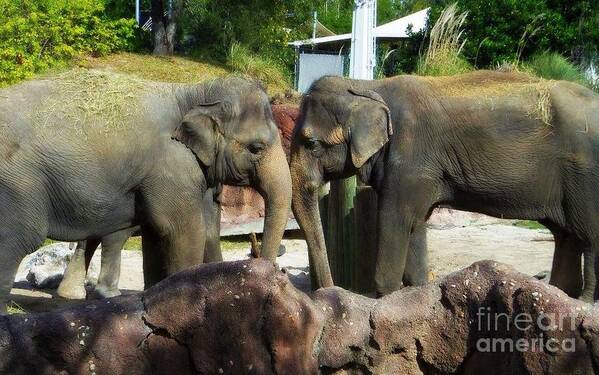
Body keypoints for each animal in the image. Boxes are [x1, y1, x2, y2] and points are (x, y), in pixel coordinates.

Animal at [0, 70, 292, 312]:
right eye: (256, 148)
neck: (194, 92)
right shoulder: (172, 166)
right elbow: (184, 231)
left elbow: (156, 235)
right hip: (18, 184)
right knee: (17, 241)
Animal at [290, 70, 599, 302]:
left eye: (312, 143)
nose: (328, 292)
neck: (366, 86)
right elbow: (415, 223)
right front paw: (415, 293)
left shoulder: (410, 157)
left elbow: (395, 219)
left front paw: (384, 298)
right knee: (566, 235)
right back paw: (561, 294)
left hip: (586, 175)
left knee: (588, 236)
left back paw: (584, 301)